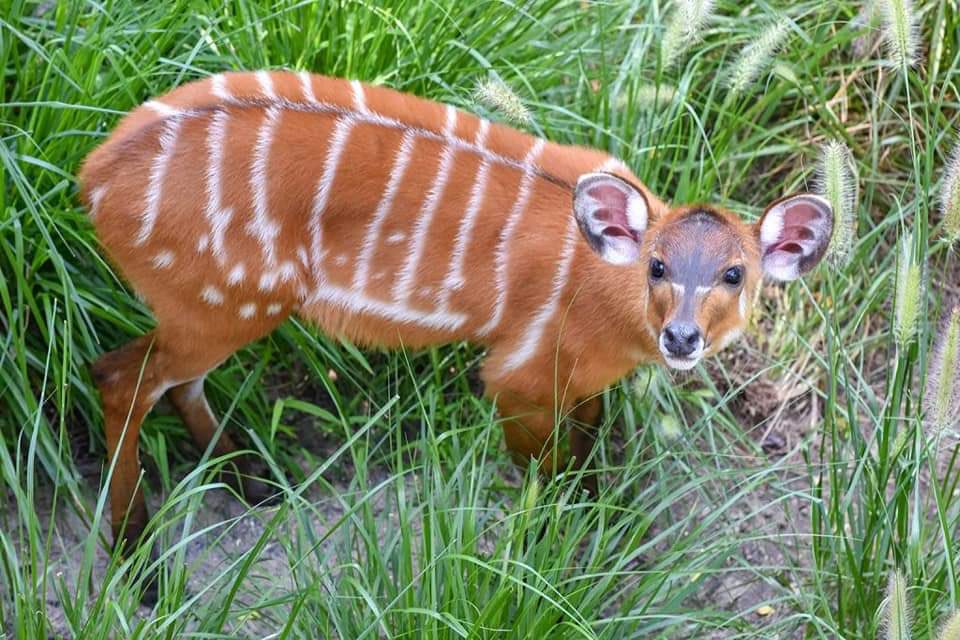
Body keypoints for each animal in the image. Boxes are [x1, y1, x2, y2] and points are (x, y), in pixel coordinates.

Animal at [79, 71, 833, 565]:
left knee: (171, 379)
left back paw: (256, 484)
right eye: (656, 265)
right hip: (224, 303)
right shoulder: (517, 374)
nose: (681, 337)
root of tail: (93, 178)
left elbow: (588, 452)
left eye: (735, 273)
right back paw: (138, 559)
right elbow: (546, 474)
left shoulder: (581, 384)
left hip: (220, 309)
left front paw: (599, 526)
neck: (601, 292)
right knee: (118, 375)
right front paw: (555, 552)